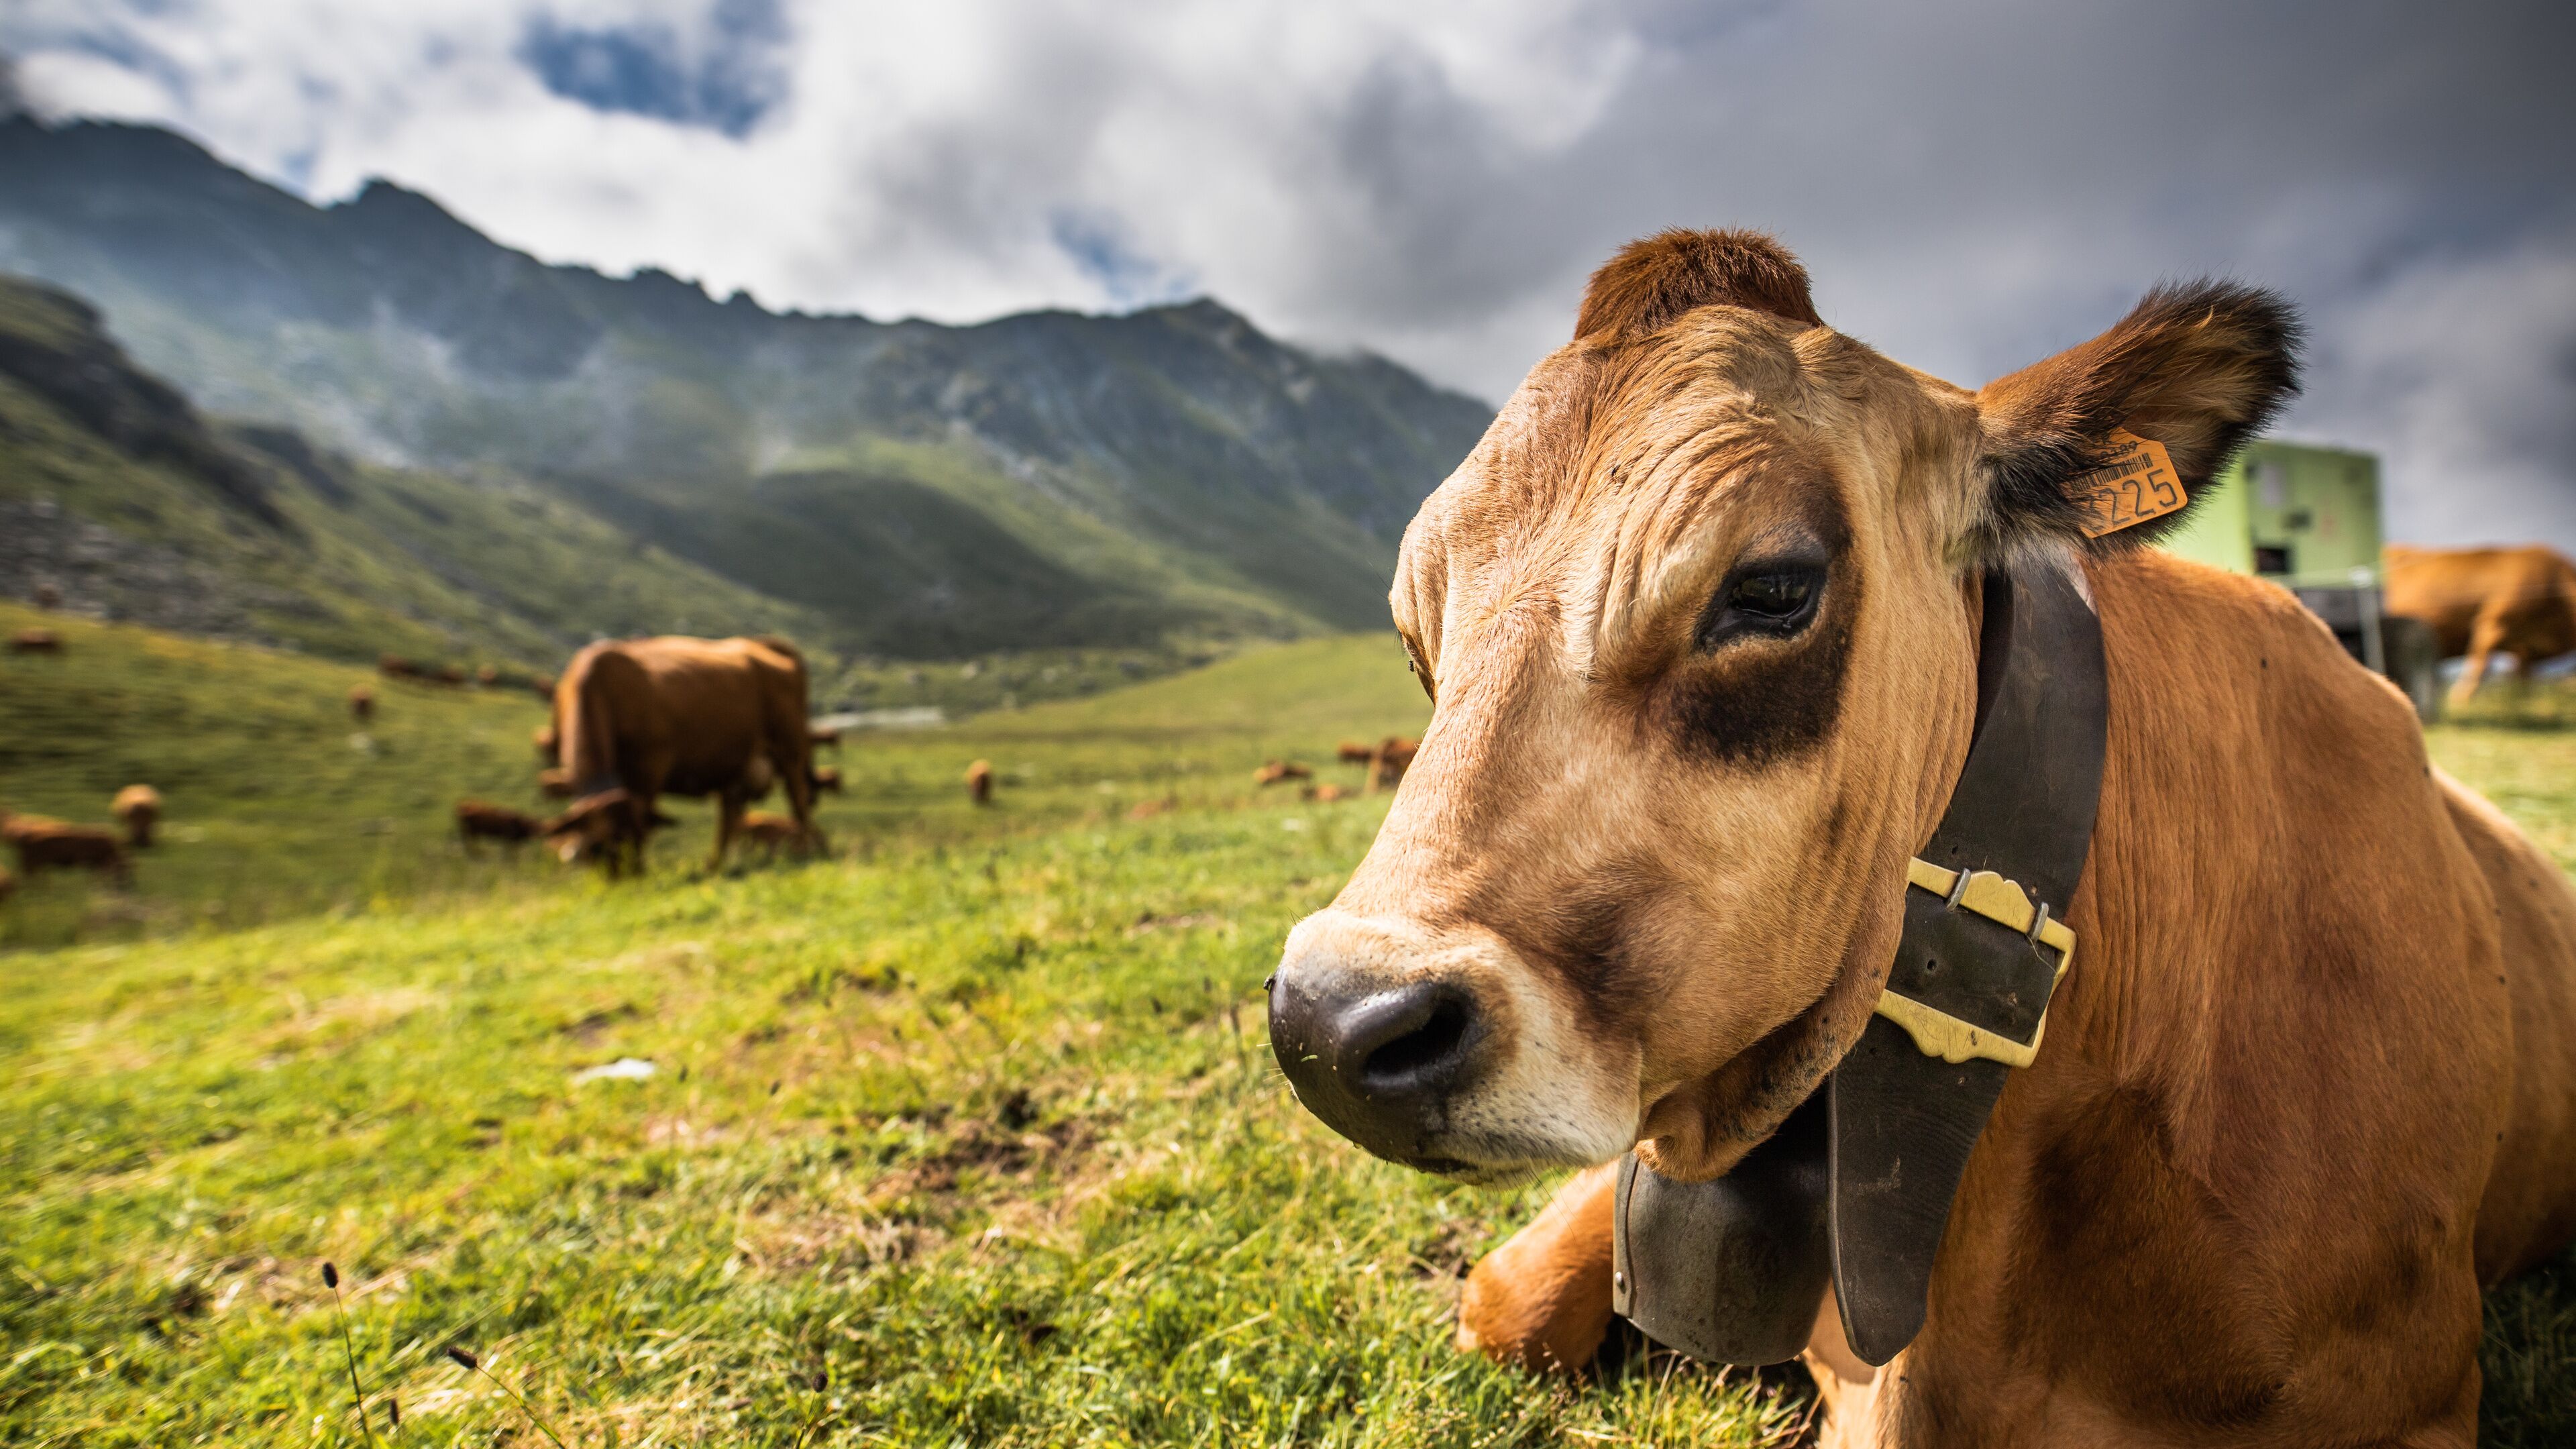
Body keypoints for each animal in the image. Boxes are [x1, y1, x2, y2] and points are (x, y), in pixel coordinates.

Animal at [455, 799, 542, 854]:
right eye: (531, 825)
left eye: (538, 826)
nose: (537, 835)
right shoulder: (508, 838)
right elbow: (509, 852)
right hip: (469, 830)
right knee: (468, 840)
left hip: (474, 831)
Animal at [540, 635, 822, 871]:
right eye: (598, 846)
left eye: (637, 836)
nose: (629, 880)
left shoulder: (651, 767)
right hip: (735, 765)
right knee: (730, 818)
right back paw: (716, 867)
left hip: (791, 750)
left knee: (798, 801)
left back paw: (804, 852)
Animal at [2385, 543, 2576, 704]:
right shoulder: (2493, 622)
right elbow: (2480, 664)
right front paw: (2459, 700)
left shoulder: (2524, 649)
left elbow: (2523, 679)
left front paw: (2523, 702)